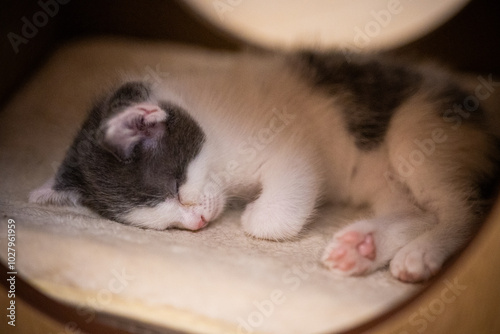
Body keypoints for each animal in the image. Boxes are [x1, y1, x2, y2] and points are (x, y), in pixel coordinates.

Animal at [28, 51, 500, 282]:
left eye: (176, 187)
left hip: (416, 132)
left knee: (464, 209)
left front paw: (255, 216)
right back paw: (363, 248)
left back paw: (422, 254)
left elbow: (280, 209)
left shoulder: (291, 142)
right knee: (418, 211)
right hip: (387, 179)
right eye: (161, 222)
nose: (197, 223)